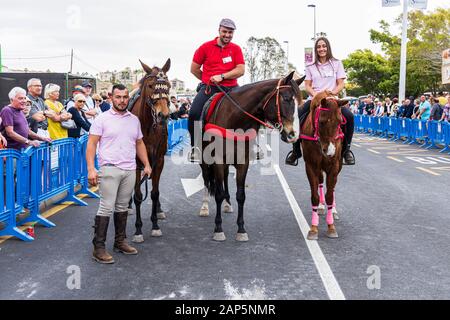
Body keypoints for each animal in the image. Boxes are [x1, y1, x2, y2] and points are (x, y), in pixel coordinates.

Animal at [200, 72, 306, 241]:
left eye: (300, 103)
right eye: (286, 98)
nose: (293, 135)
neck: (235, 120)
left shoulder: (243, 162)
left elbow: (241, 195)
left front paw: (241, 229)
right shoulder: (218, 160)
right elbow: (218, 193)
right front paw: (218, 228)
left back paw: (227, 204)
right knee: (206, 178)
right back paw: (204, 205)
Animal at [300, 90, 350, 240]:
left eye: (340, 121)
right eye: (322, 122)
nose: (330, 151)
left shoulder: (334, 167)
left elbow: (330, 195)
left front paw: (331, 226)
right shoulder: (311, 166)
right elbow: (314, 197)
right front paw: (313, 228)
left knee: (331, 189)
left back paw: (332, 209)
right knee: (321, 183)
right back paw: (322, 207)